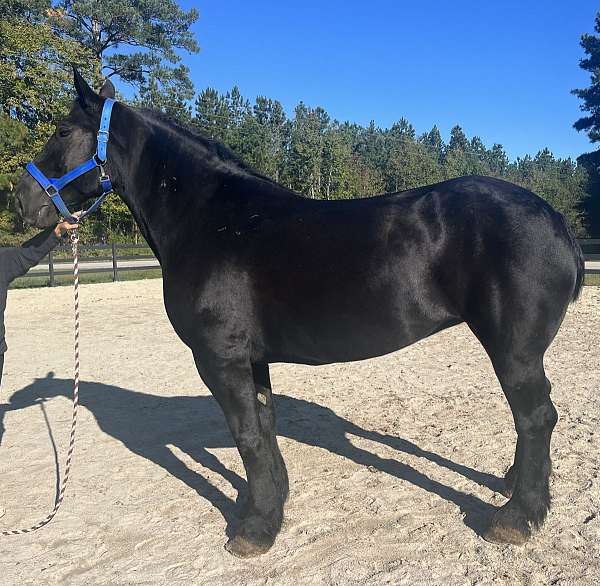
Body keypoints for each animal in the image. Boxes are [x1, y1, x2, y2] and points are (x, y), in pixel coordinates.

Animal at [15, 70, 584, 556]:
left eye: (62, 130)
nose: (21, 198)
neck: (210, 220)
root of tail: (553, 217)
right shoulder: (252, 359)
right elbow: (263, 427)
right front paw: (269, 503)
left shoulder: (219, 358)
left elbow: (245, 434)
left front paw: (254, 530)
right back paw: (515, 486)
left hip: (513, 350)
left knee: (536, 416)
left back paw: (518, 516)